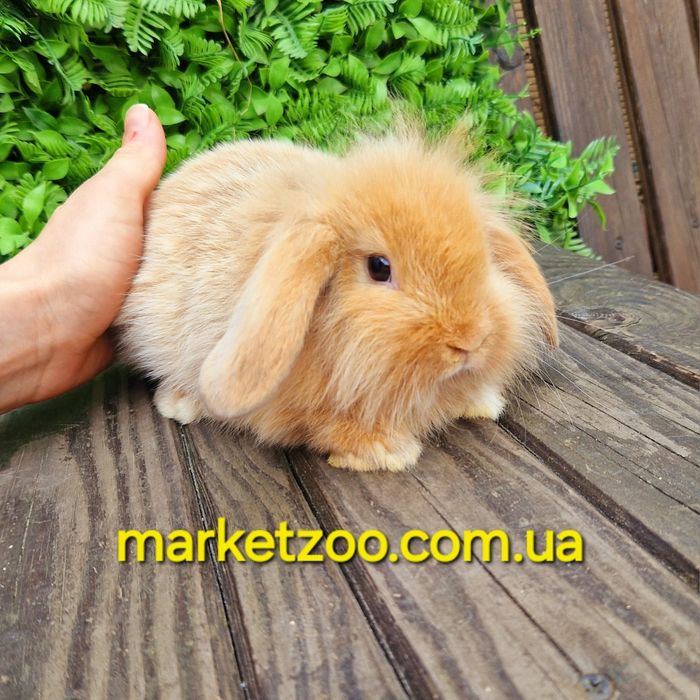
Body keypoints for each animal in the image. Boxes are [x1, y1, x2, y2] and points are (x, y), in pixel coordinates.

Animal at [115, 126, 558, 472]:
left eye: (485, 254)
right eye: (379, 267)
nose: (469, 342)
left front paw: (483, 401)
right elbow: (324, 426)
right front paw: (387, 451)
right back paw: (181, 403)